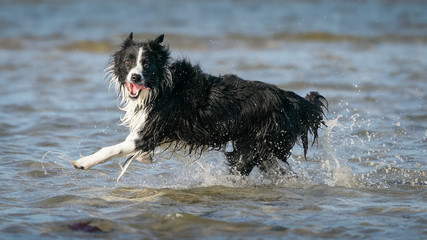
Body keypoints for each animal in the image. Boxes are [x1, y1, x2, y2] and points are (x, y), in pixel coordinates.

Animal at [72, 33, 328, 176]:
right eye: (128, 62)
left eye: (147, 64)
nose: (135, 77)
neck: (160, 86)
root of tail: (290, 98)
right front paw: (145, 158)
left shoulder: (150, 130)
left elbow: (112, 148)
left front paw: (83, 162)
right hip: (263, 148)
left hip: (255, 147)